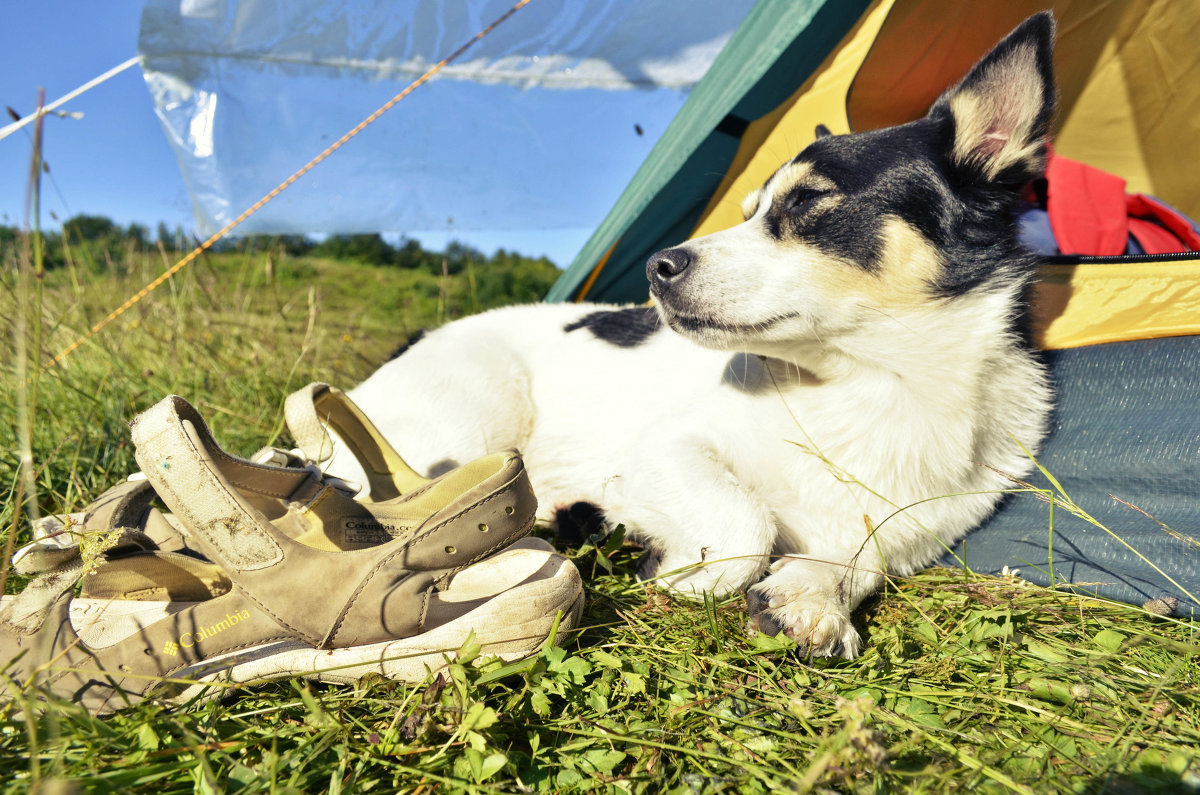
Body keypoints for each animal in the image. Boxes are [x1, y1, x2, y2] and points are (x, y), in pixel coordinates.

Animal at [343, 14, 1056, 658]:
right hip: (470, 423)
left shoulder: (912, 527)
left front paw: (808, 594)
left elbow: (862, 552)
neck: (866, 384)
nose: (657, 265)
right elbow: (747, 524)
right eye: (748, 211)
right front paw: (687, 570)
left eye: (807, 201)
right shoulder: (667, 449)